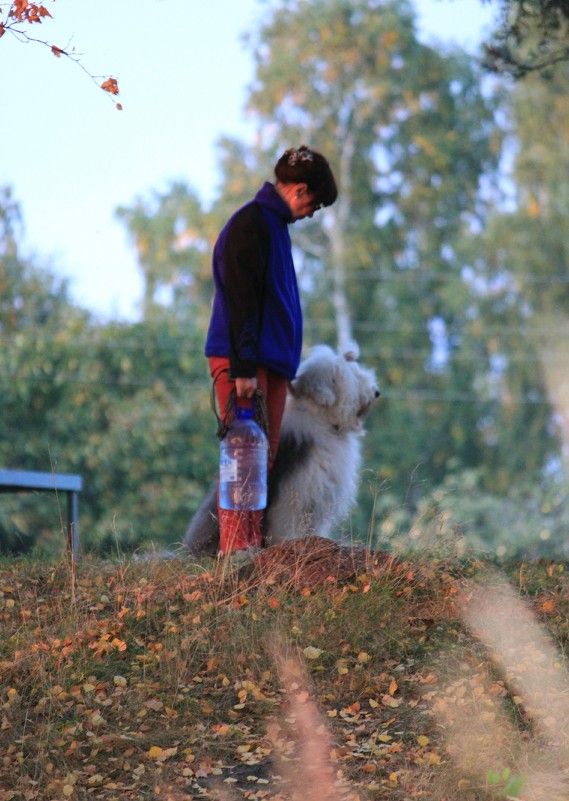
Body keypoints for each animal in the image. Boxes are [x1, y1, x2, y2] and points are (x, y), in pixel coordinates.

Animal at [183, 344, 378, 556]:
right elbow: (288, 521)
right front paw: (293, 544)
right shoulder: (297, 491)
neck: (321, 418)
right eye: (353, 376)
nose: (376, 392)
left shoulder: (319, 498)